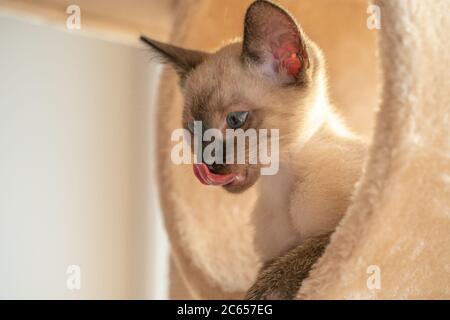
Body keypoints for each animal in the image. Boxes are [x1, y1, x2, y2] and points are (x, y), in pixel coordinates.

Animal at [142, 0, 368, 300]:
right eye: (192, 129)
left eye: (236, 119)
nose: (207, 163)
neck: (280, 186)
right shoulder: (272, 253)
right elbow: (269, 265)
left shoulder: (341, 234)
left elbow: (289, 265)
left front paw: (261, 291)